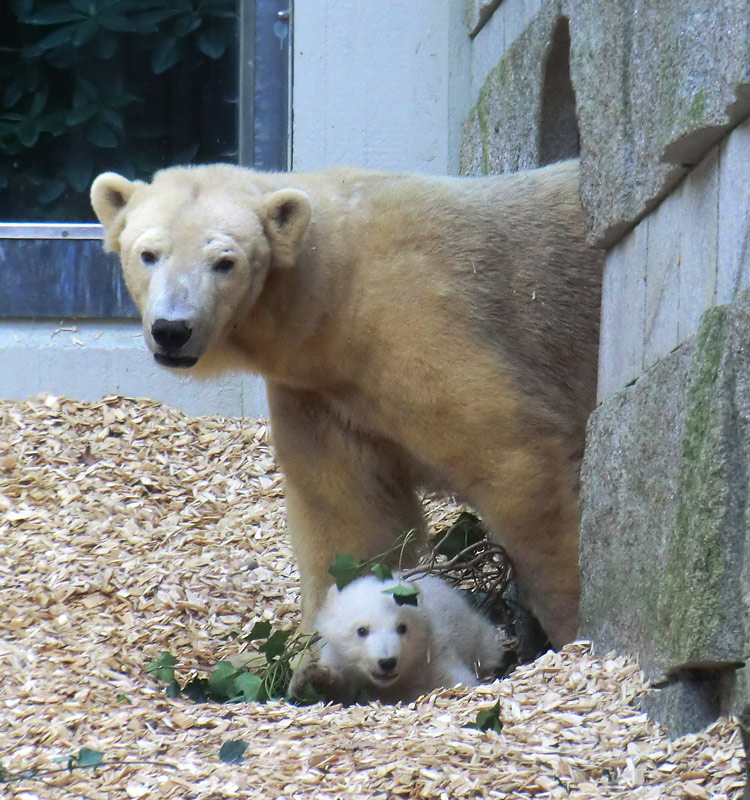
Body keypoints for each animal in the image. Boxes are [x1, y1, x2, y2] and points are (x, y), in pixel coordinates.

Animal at [91, 162, 604, 648]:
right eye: (149, 254)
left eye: (224, 262)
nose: (172, 329)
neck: (341, 292)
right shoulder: (322, 393)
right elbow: (349, 516)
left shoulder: (426, 327)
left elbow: (516, 461)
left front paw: (573, 626)